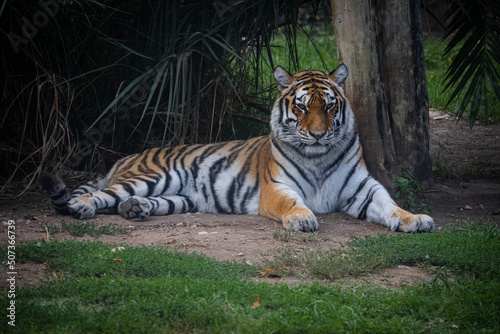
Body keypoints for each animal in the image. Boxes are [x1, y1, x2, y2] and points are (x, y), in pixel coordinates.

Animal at [40, 64, 434, 232]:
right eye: (302, 107)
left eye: (329, 106)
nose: (319, 134)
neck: (319, 157)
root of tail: (125, 157)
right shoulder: (277, 189)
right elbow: (293, 204)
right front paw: (303, 218)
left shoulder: (364, 189)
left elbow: (391, 205)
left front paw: (416, 219)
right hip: (151, 176)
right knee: (100, 194)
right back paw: (83, 207)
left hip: (181, 197)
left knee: (130, 201)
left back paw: (135, 209)